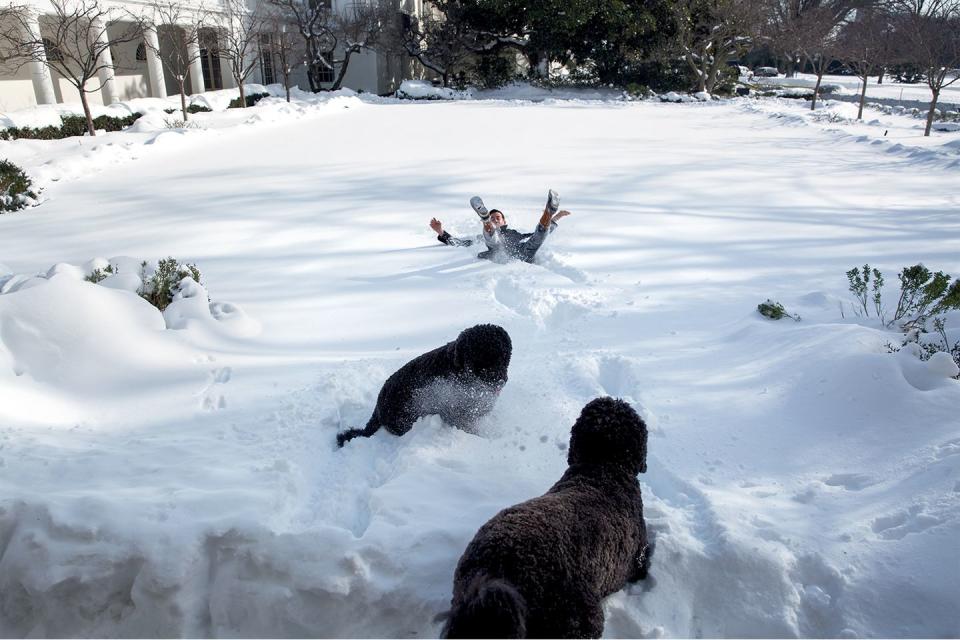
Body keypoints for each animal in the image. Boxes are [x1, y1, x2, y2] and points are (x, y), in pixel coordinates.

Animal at [336, 322, 510, 448]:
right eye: (475, 361)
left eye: (502, 356)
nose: (498, 380)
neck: (457, 367)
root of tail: (378, 409)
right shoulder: (458, 412)